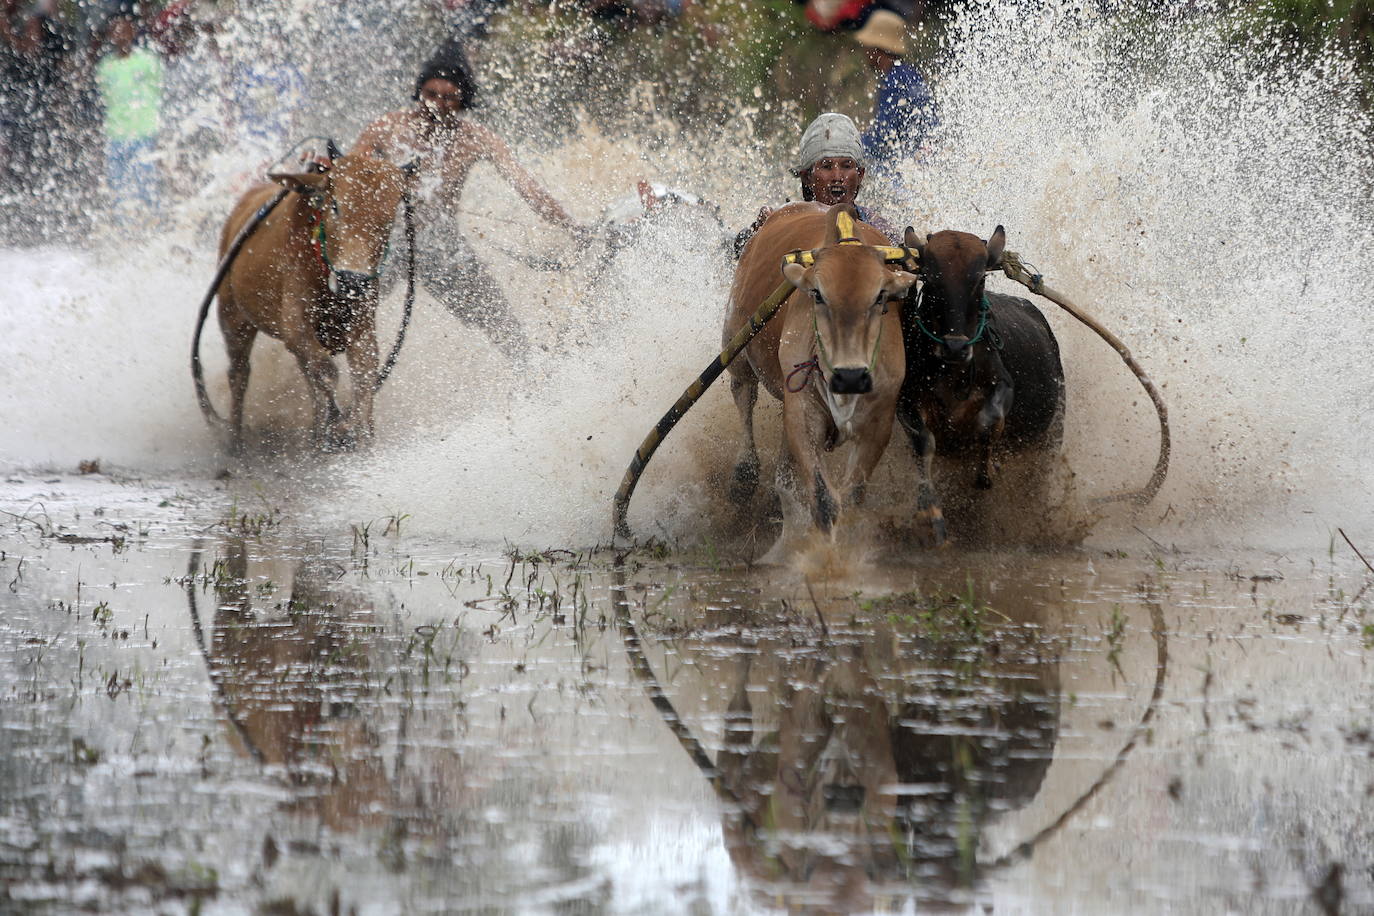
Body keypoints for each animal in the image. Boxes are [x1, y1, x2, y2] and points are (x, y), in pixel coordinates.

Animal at [214, 153, 406, 450]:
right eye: (336, 205)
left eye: (389, 215)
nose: (353, 279)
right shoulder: (296, 327)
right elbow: (327, 373)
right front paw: (336, 423)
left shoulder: (361, 328)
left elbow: (364, 378)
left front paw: (362, 436)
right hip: (233, 319)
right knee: (239, 374)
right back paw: (236, 442)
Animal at [725, 200, 917, 530]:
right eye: (818, 294)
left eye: (880, 297)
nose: (850, 376)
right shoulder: (804, 411)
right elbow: (824, 501)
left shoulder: (879, 423)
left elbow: (851, 498)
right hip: (736, 347)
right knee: (744, 396)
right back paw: (743, 474)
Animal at [895, 227, 1066, 543]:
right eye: (931, 277)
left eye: (980, 280)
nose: (955, 347)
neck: (953, 371)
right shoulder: (907, 399)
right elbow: (923, 442)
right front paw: (930, 514)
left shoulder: (1003, 386)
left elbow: (988, 420)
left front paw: (986, 473)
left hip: (1049, 437)